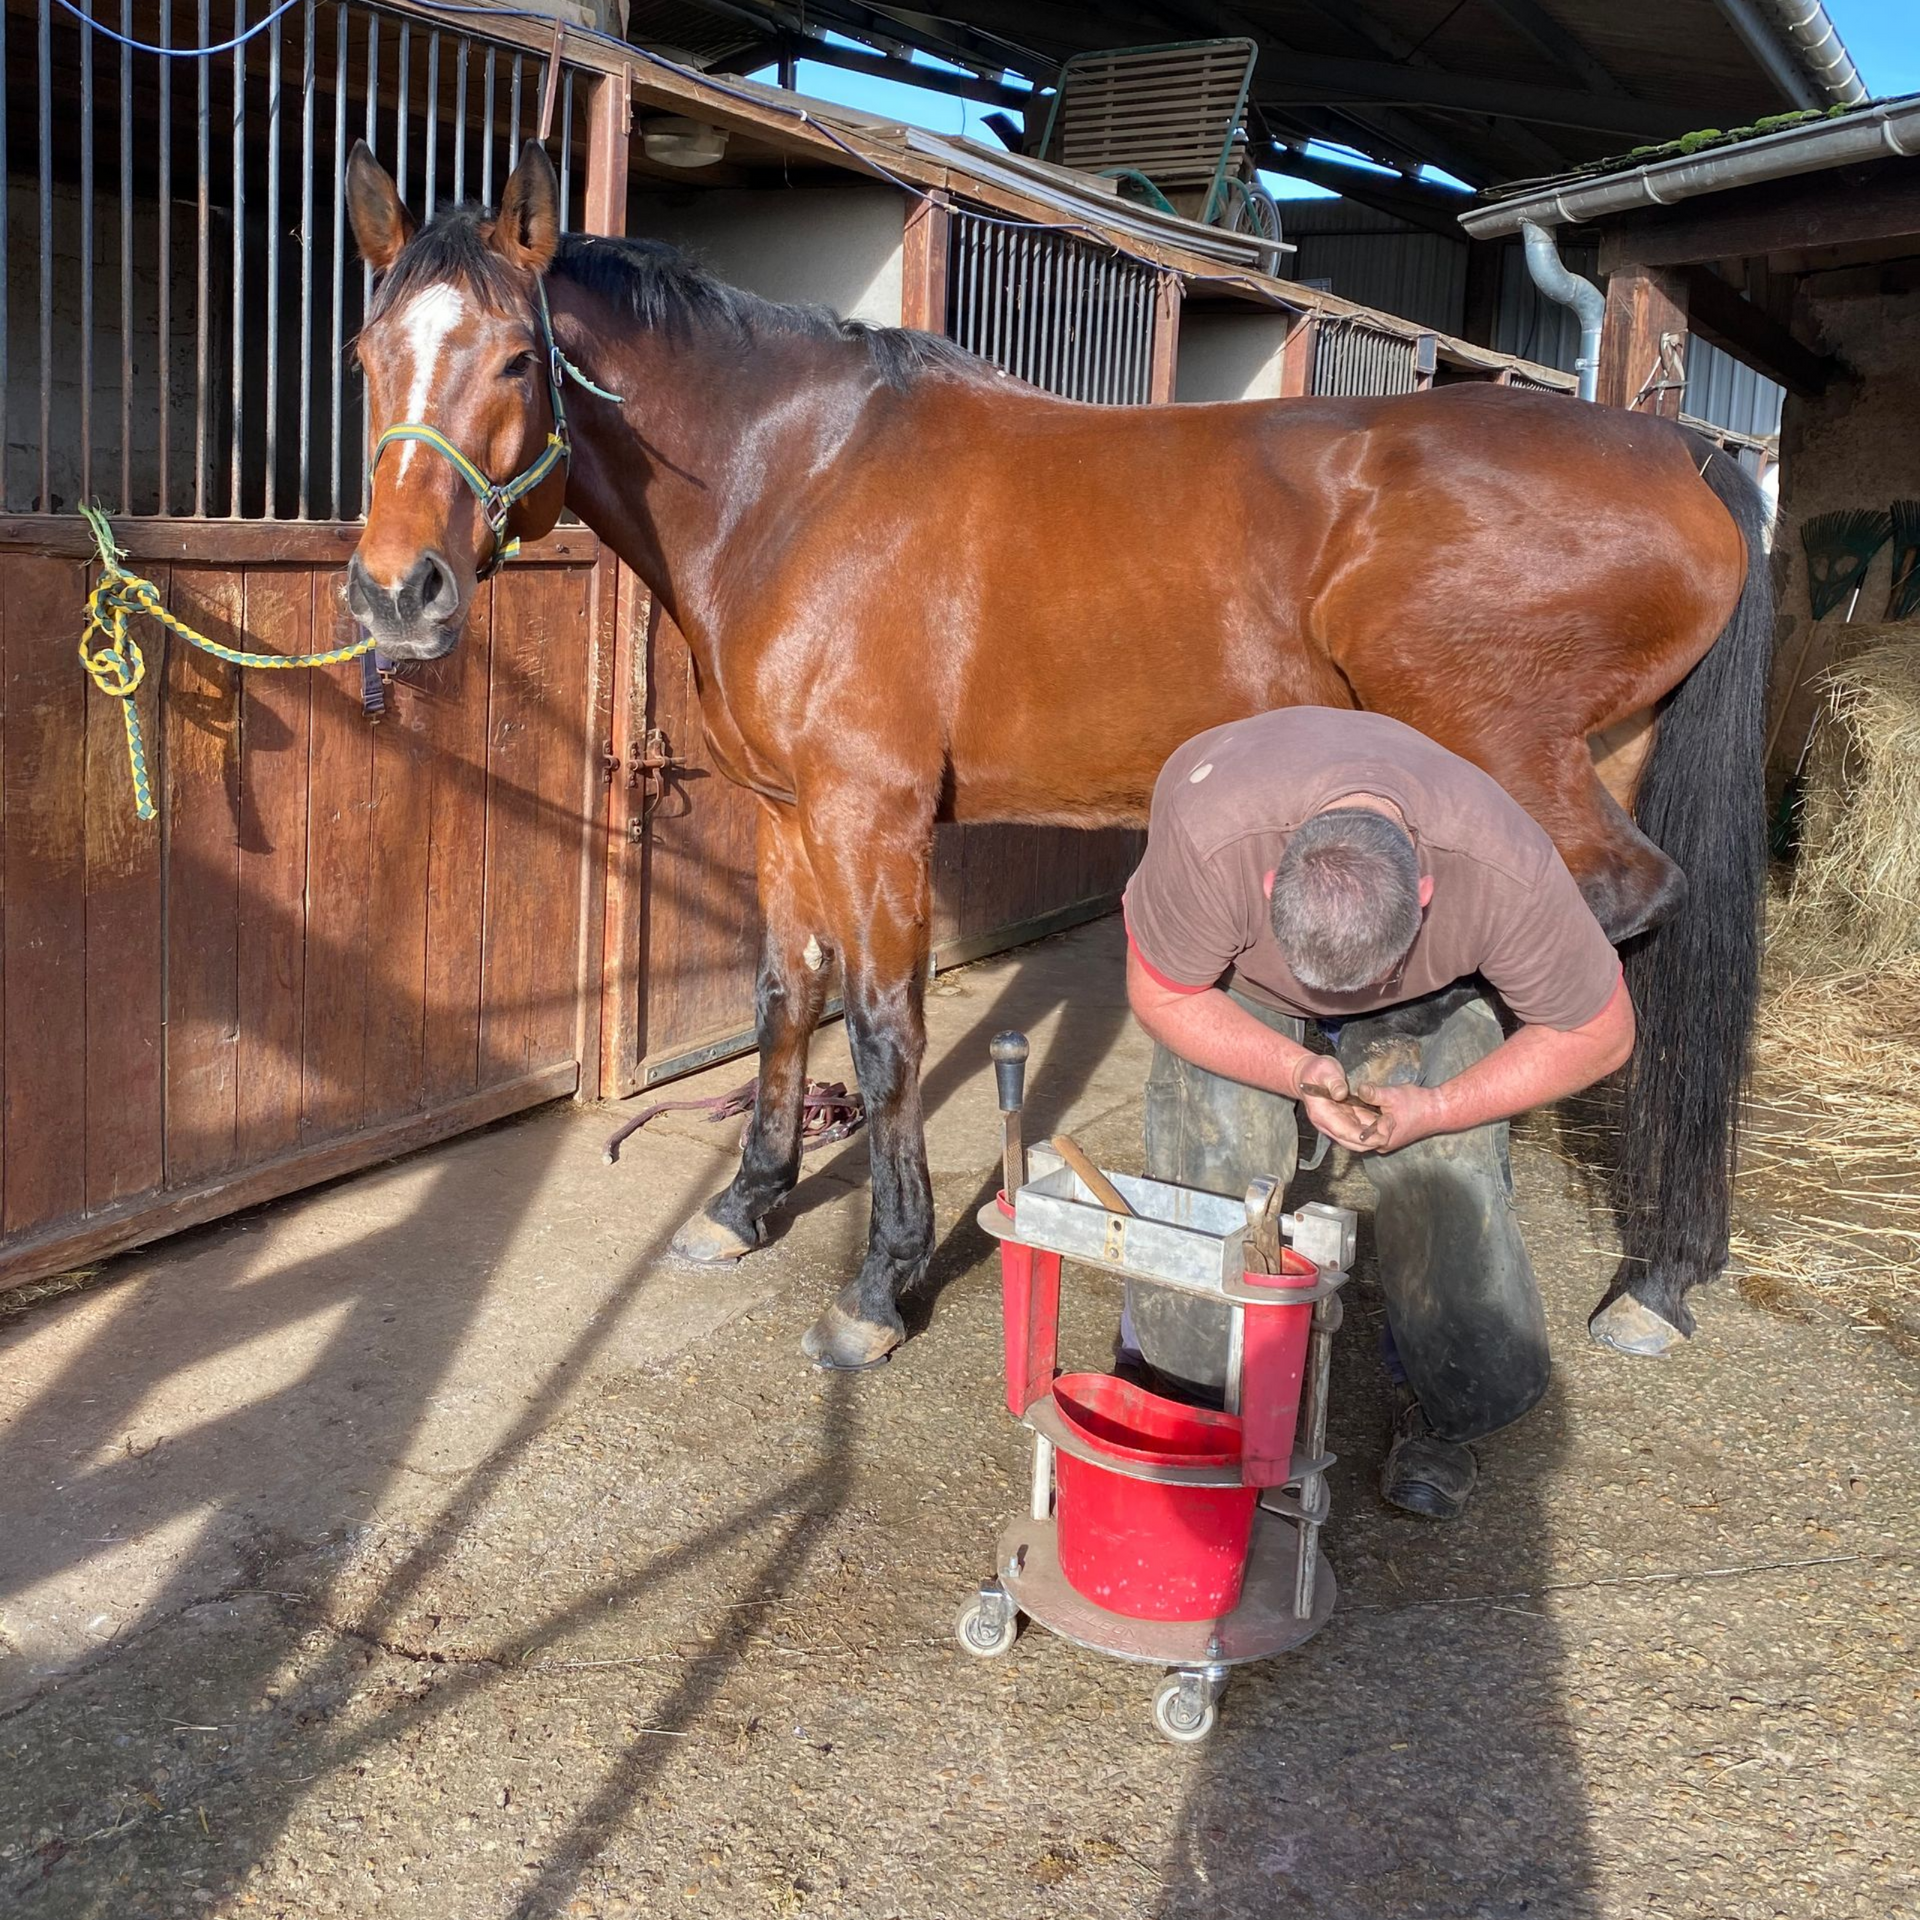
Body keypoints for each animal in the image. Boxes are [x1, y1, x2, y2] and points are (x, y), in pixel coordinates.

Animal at [344, 140, 1771, 1371]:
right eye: (364, 352)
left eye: (517, 359)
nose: (393, 596)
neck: (792, 481)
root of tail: (1681, 448)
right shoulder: (788, 814)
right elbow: (783, 999)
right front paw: (747, 1207)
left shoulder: (870, 818)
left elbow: (884, 1035)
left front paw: (881, 1285)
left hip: (1510, 756)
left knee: (1603, 918)